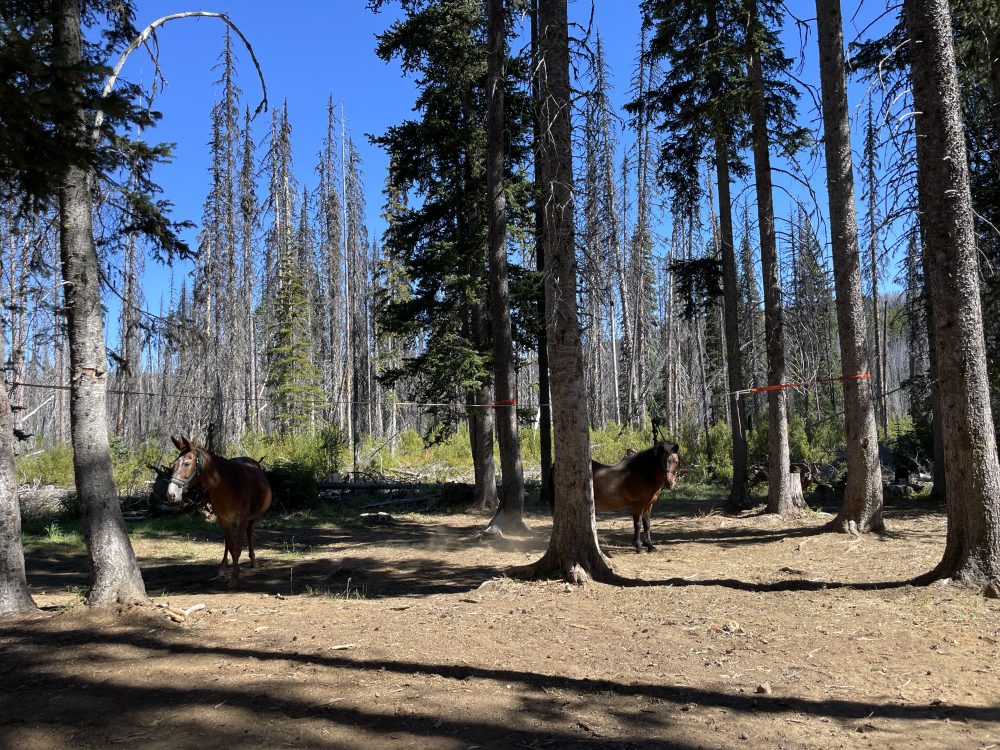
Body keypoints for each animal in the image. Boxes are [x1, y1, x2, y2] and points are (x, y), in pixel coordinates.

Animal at [166, 436, 272, 586]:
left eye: (187, 463)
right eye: (174, 464)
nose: (171, 494)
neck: (227, 484)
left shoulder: (242, 520)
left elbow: (237, 548)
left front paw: (234, 577)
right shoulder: (222, 519)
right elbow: (231, 545)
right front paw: (231, 571)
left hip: (252, 518)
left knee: (249, 533)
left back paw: (253, 560)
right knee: (228, 542)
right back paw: (223, 566)